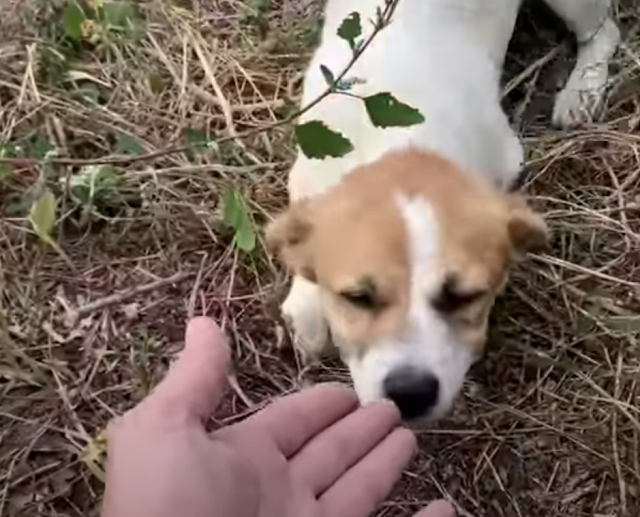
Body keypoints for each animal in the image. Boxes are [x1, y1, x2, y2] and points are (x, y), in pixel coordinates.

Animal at [264, 0, 620, 420]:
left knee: (605, 32)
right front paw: (307, 308)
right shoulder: (308, 169)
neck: (403, 138)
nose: (410, 394)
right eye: (358, 298)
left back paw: (583, 88)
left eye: (464, 296)